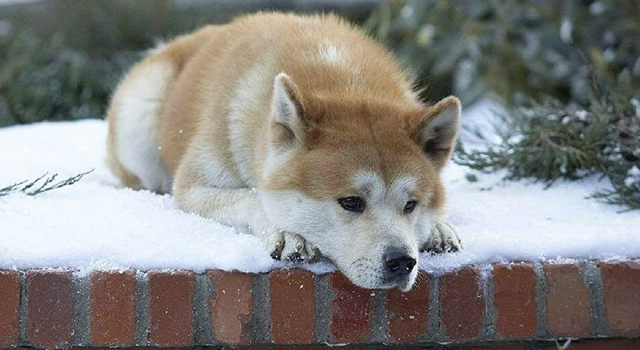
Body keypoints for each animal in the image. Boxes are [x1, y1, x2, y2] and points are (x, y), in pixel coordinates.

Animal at [107, 11, 462, 290]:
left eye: (411, 205)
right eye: (351, 202)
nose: (402, 261)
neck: (342, 82)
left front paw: (438, 228)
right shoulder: (192, 187)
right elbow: (251, 198)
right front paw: (288, 233)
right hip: (141, 116)